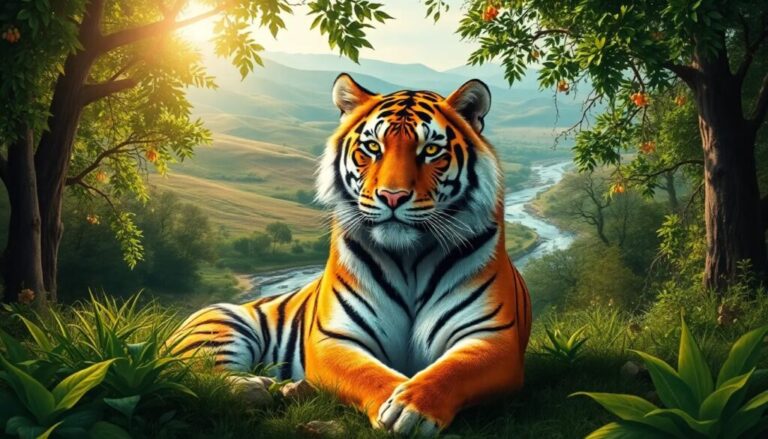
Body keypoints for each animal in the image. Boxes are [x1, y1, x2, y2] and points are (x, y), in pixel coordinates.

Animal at [169, 74, 532, 436]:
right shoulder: (334, 337)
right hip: (219, 325)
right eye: (373, 148)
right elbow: (367, 373)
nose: (392, 196)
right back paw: (253, 387)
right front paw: (397, 407)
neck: (409, 259)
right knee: (198, 375)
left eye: (430, 150)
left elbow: (450, 371)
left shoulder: (493, 337)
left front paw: (412, 408)